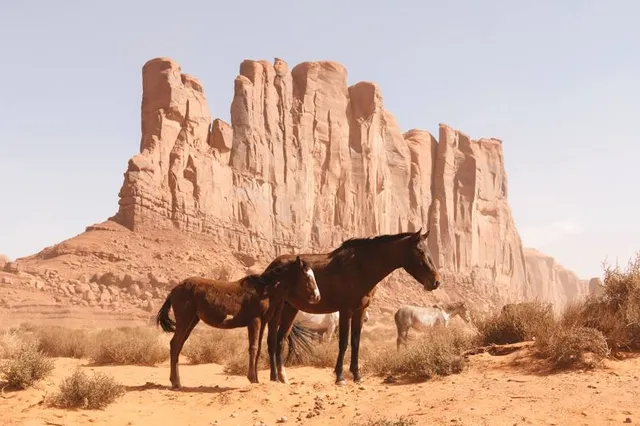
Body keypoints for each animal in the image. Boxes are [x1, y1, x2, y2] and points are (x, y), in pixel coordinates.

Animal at [156, 256, 320, 388]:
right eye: (306, 276)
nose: (317, 296)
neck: (264, 290)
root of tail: (174, 290)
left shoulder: (262, 323)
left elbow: (258, 348)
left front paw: (256, 379)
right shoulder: (254, 321)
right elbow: (253, 348)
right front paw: (252, 378)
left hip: (192, 321)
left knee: (178, 345)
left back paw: (175, 381)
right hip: (184, 320)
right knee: (175, 344)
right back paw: (176, 383)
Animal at [264, 228, 441, 385]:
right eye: (420, 251)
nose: (436, 281)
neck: (360, 267)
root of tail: (271, 268)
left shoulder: (360, 310)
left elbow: (355, 342)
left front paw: (357, 375)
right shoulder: (345, 310)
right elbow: (343, 343)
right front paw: (340, 377)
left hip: (290, 309)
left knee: (280, 340)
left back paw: (281, 378)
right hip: (277, 310)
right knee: (272, 340)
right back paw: (275, 378)